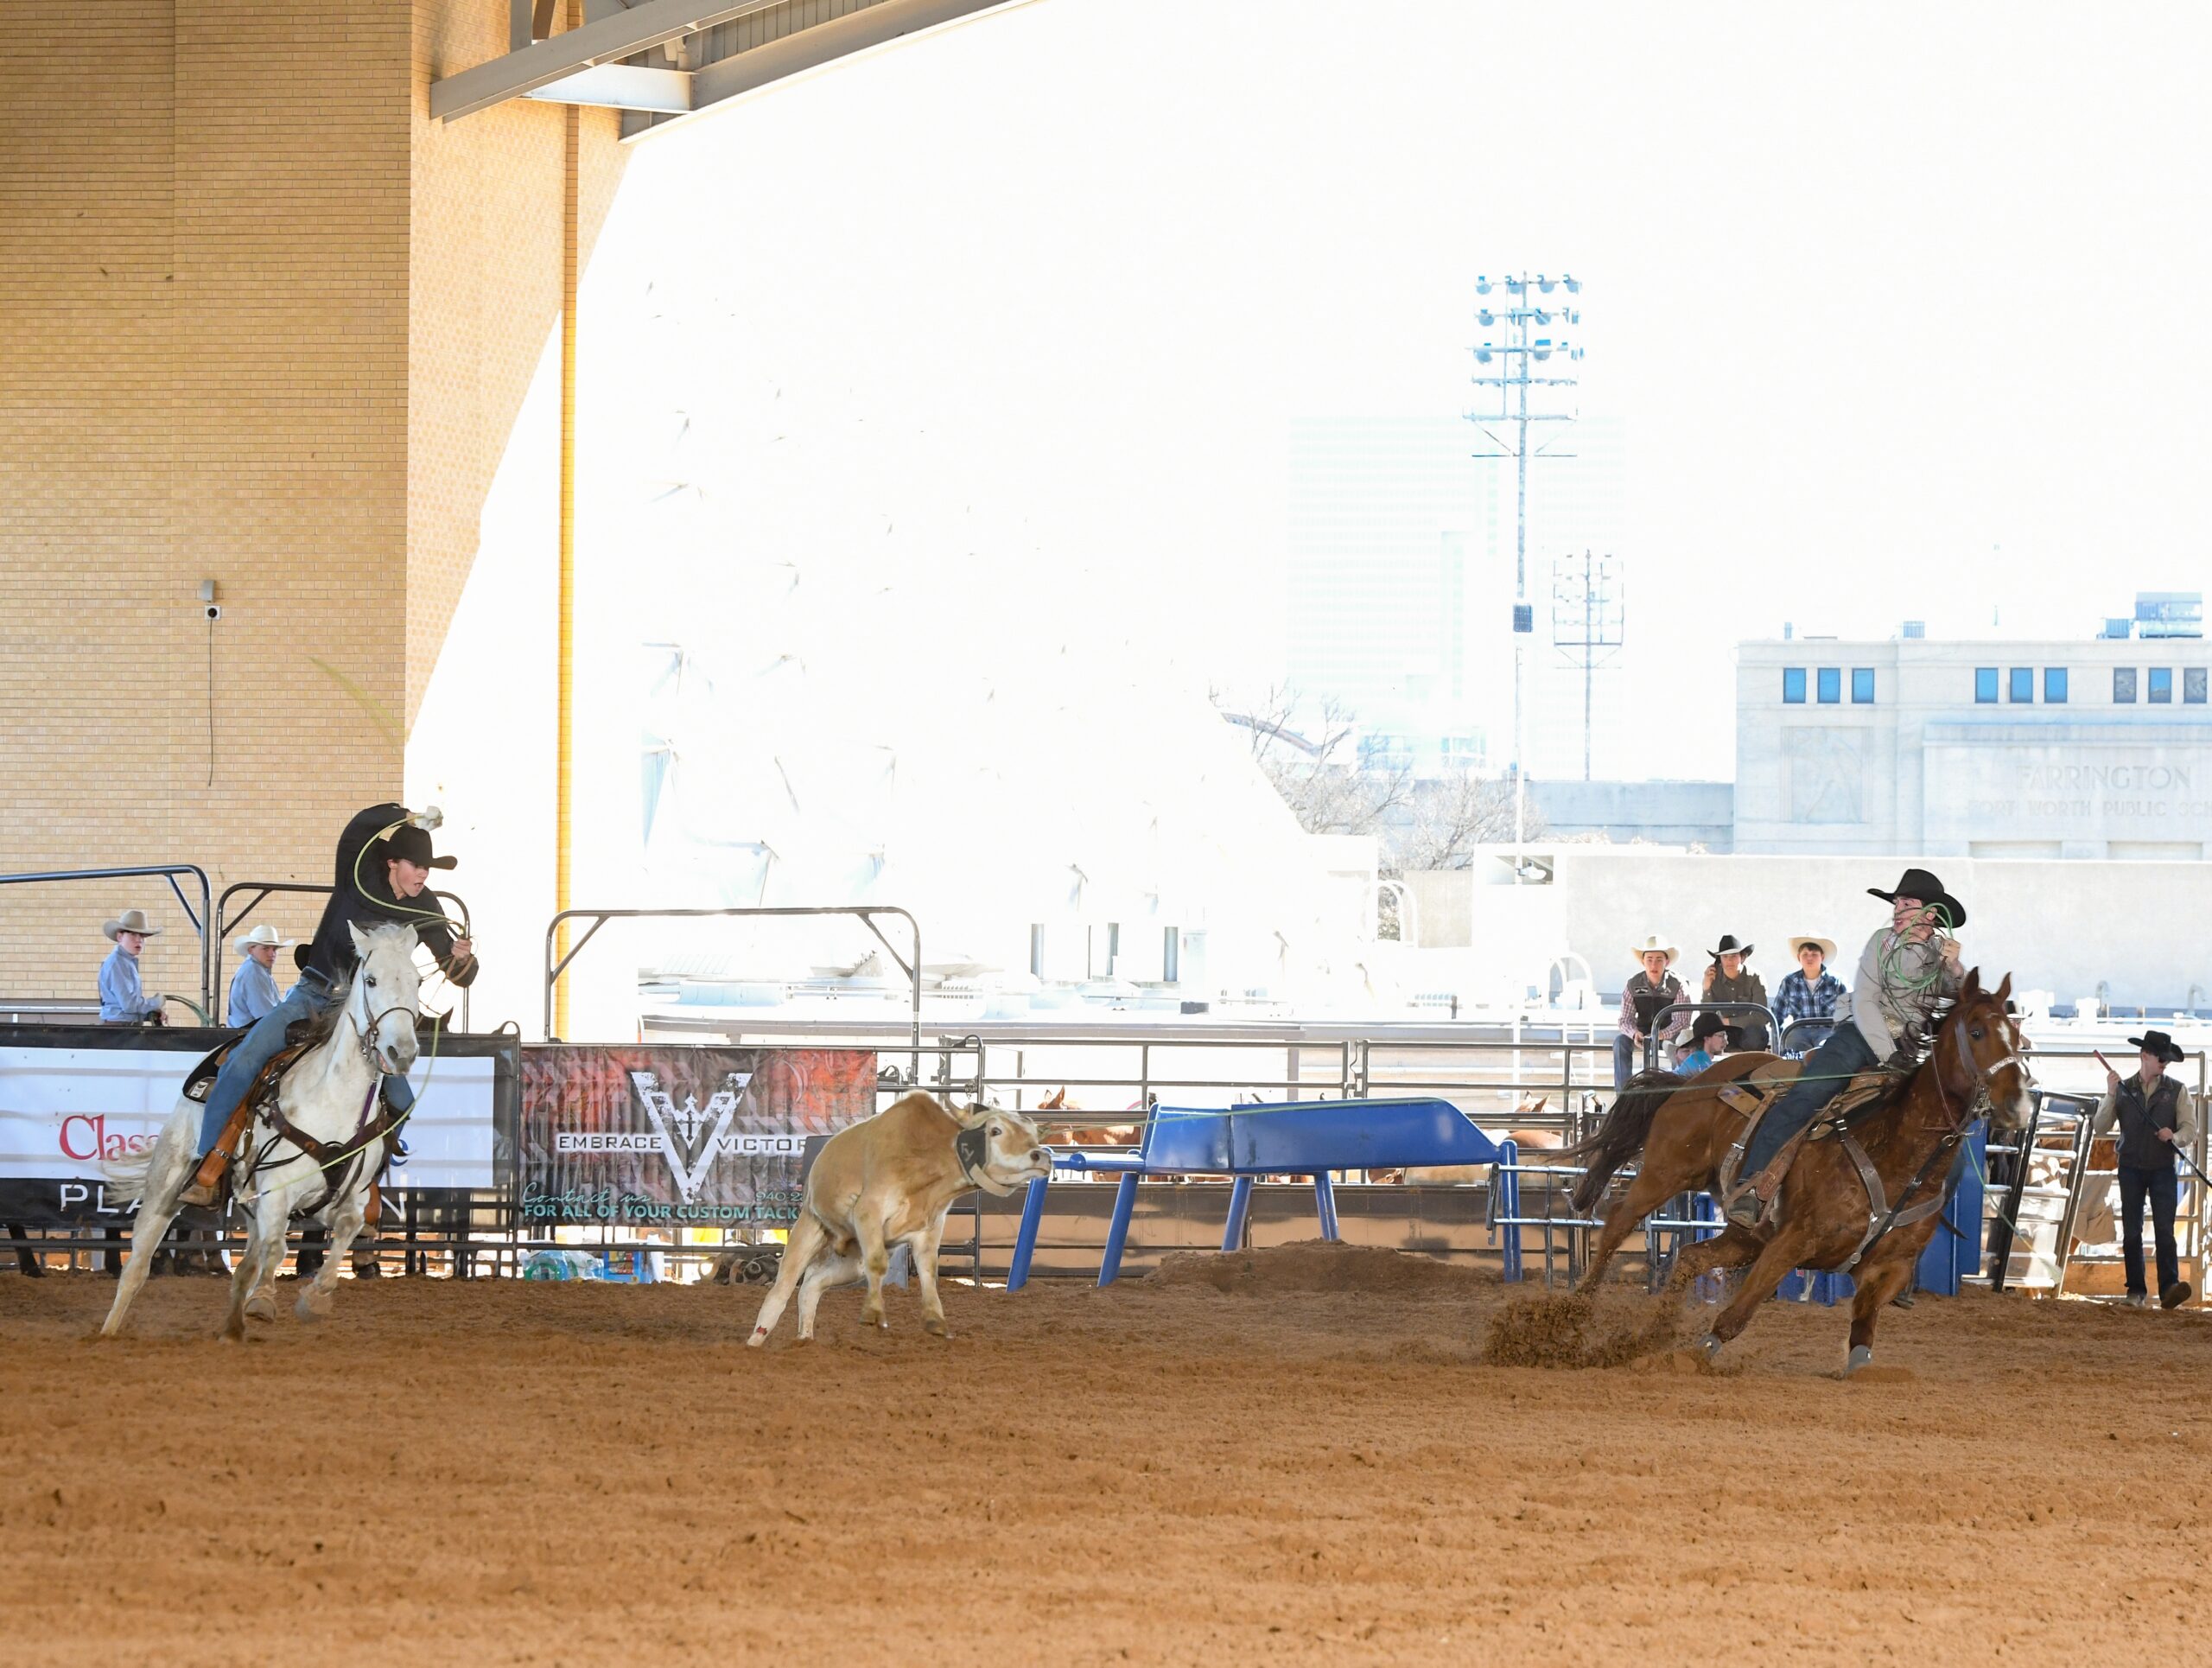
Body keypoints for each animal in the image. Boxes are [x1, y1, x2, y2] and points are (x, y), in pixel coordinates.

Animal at [98, 922, 423, 1340]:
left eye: (417, 981)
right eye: (370, 980)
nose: (402, 1052)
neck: (334, 1099)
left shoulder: (338, 1200)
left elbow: (343, 1232)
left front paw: (315, 1299)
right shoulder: (277, 1192)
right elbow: (277, 1248)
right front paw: (265, 1302)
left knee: (244, 1269)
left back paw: (233, 1330)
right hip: (165, 1186)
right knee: (137, 1265)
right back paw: (107, 1332)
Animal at [1560, 969, 2031, 1375]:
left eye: (2018, 1037)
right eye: (1976, 1032)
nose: (2017, 1104)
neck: (1897, 1154)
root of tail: (1690, 1082)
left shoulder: (1890, 1268)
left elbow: (1862, 1337)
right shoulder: (1792, 1242)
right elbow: (1735, 1316)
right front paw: (1693, 1356)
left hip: (1748, 1232)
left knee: (1692, 1256)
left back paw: (1651, 1336)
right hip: (1667, 1172)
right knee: (1620, 1221)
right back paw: (1572, 1315)